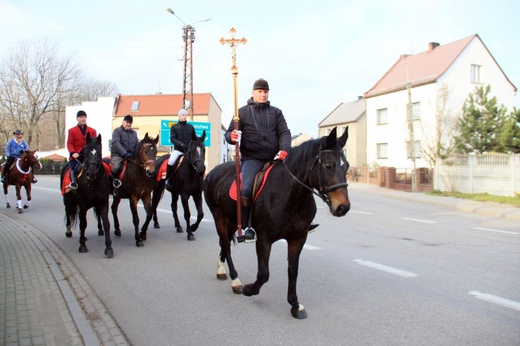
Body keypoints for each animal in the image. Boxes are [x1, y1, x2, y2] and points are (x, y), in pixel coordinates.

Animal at [203, 126, 350, 318]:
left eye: (347, 166)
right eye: (329, 165)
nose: (343, 207)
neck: (290, 195)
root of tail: (213, 173)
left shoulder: (298, 238)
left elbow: (293, 271)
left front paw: (295, 305)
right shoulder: (264, 239)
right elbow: (264, 274)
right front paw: (250, 289)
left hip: (230, 220)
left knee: (224, 242)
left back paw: (221, 270)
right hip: (219, 217)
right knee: (226, 245)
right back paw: (236, 281)